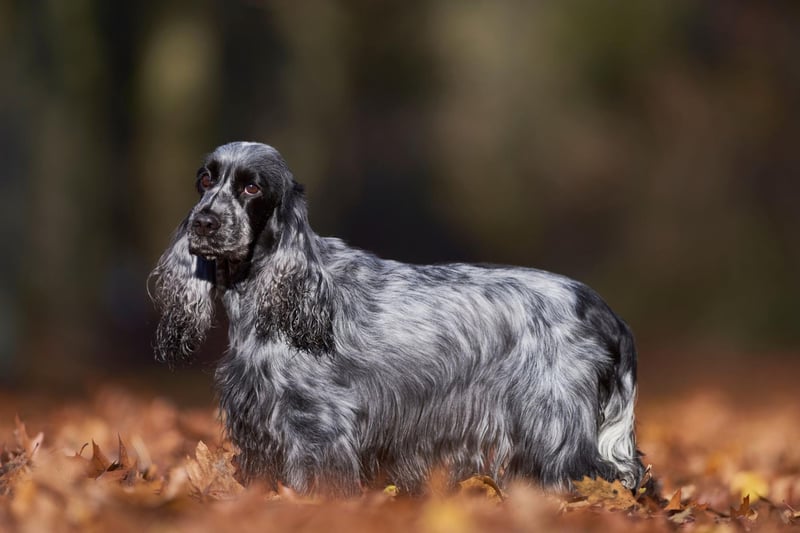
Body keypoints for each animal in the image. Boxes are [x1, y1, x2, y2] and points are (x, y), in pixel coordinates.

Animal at [150, 141, 648, 494]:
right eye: (205, 181)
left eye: (252, 188)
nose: (203, 222)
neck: (270, 291)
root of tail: (603, 309)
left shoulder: (316, 425)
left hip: (555, 430)